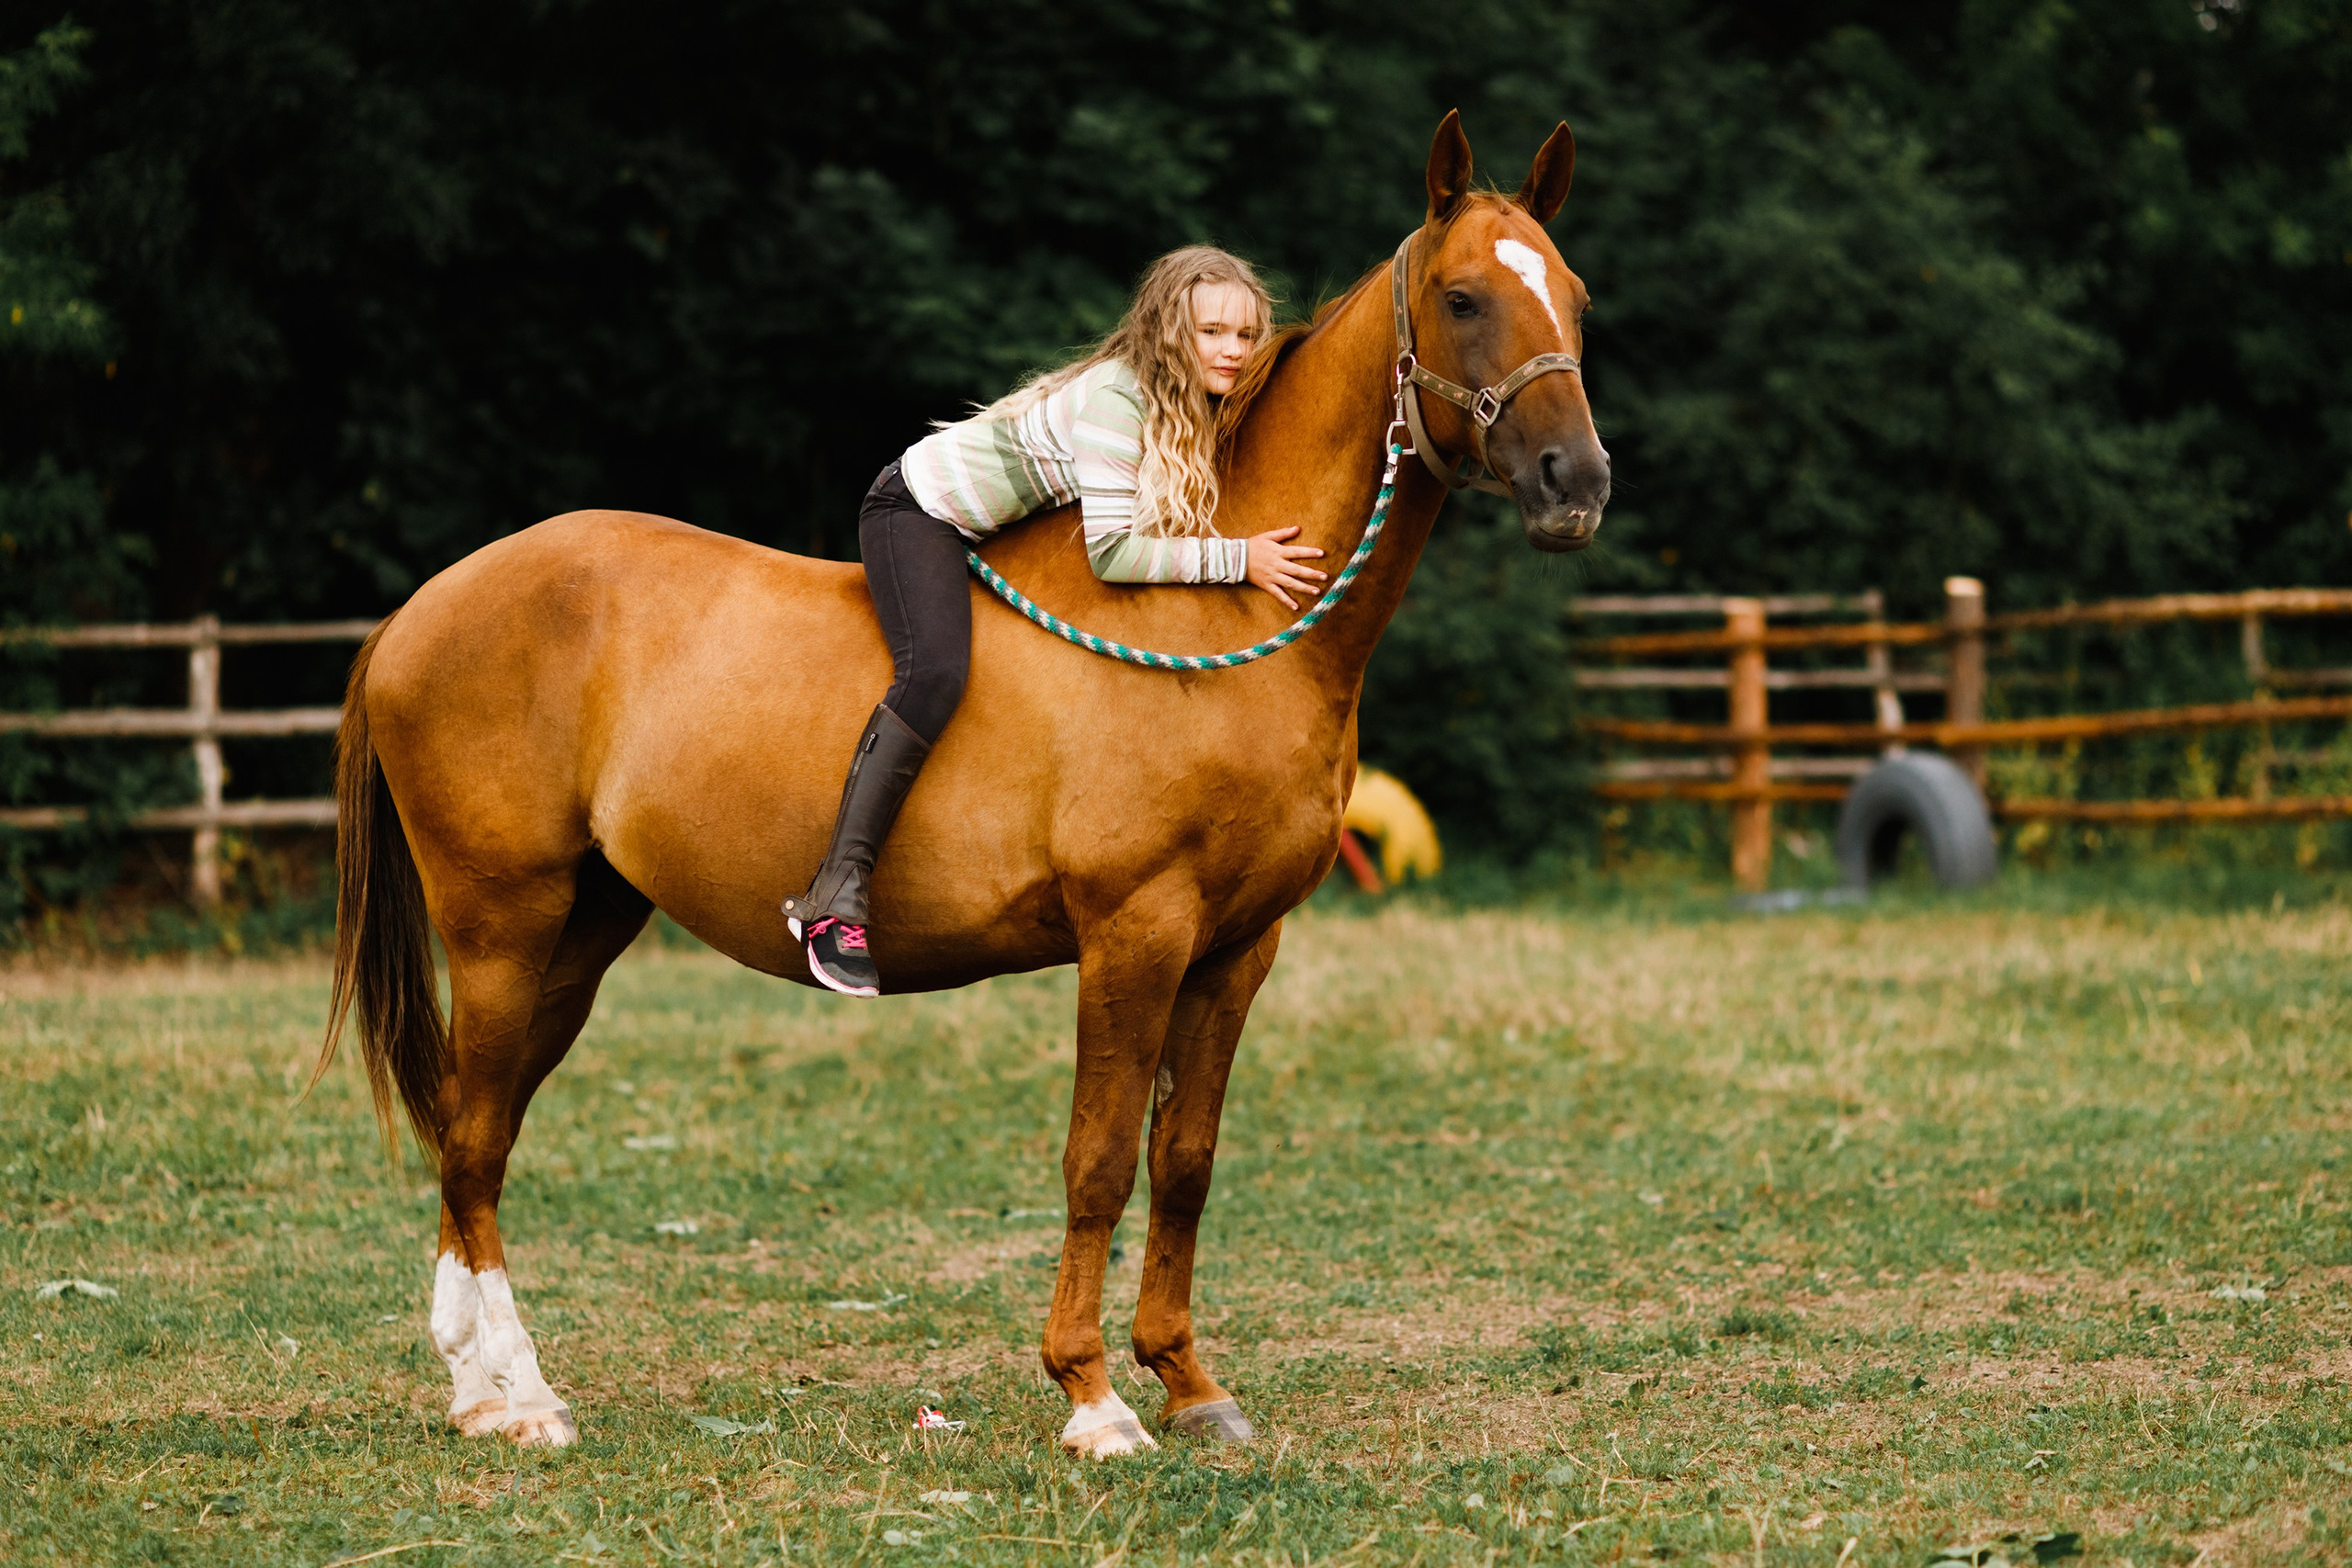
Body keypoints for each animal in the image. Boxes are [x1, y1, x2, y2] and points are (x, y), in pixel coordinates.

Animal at [316, 109, 1610, 1456]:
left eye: (1574, 294)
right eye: (1461, 296)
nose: (1576, 481)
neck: (1221, 614)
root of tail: (416, 612)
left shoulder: (1235, 947)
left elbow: (1185, 1159)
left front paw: (1189, 1381)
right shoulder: (1136, 933)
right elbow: (1098, 1160)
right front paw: (1094, 1397)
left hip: (581, 931)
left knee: (479, 1132)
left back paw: (481, 1387)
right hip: (502, 927)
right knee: (472, 1136)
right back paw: (518, 1398)